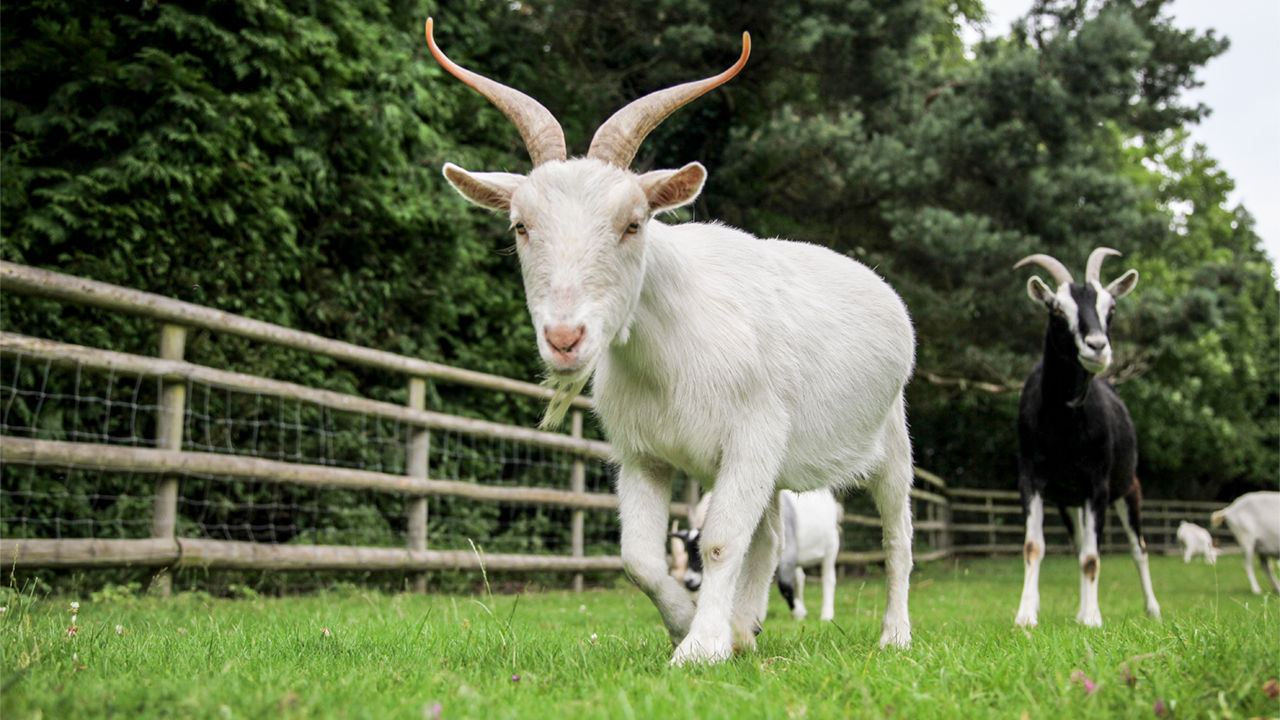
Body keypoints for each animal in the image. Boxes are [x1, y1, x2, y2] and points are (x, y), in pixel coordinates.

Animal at [672, 490, 842, 621]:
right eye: (687, 551)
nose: (689, 581)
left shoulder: (787, 552)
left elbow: (784, 585)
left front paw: (798, 611)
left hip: (831, 546)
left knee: (828, 578)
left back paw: (826, 615)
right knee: (800, 578)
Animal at [1013, 248, 1160, 628]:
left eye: (1112, 308)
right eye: (1057, 309)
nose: (1097, 347)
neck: (1063, 426)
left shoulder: (1098, 484)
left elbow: (1093, 557)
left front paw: (1093, 618)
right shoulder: (1032, 478)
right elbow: (1034, 547)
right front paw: (1026, 614)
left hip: (1127, 489)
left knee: (1139, 549)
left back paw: (1151, 609)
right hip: (1070, 502)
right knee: (1081, 544)